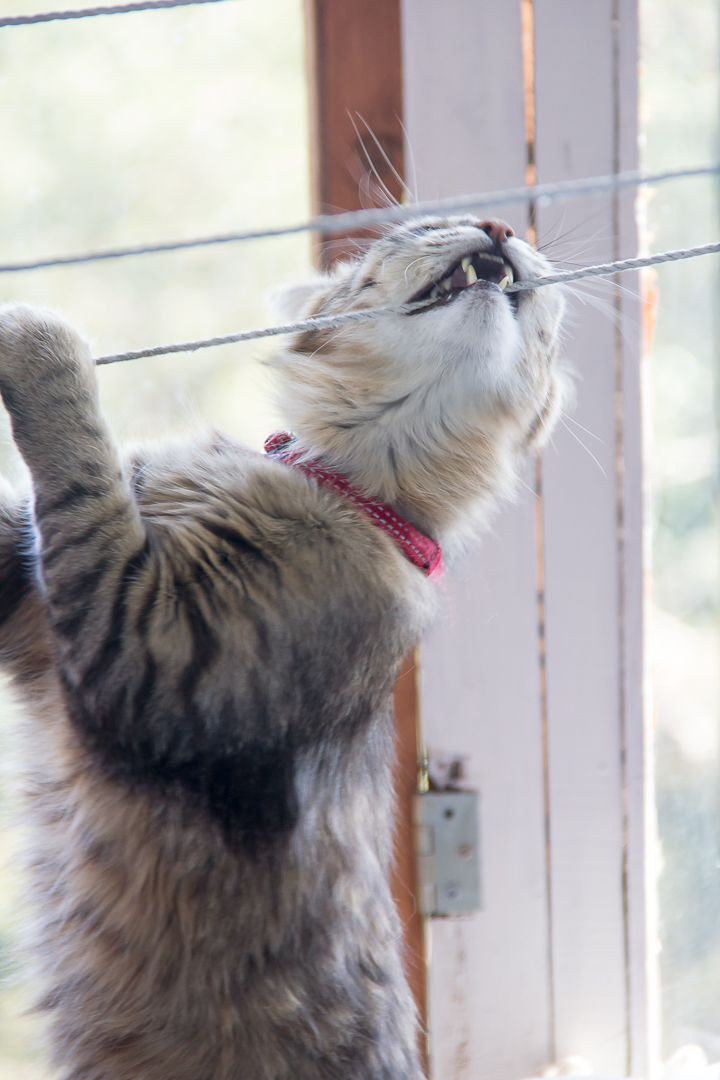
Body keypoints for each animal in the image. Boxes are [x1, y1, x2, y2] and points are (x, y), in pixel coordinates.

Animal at [0, 214, 561, 1075]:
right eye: (422, 226)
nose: (499, 225)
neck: (336, 483)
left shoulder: (151, 656)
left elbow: (85, 476)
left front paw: (41, 342)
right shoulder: (34, 617)